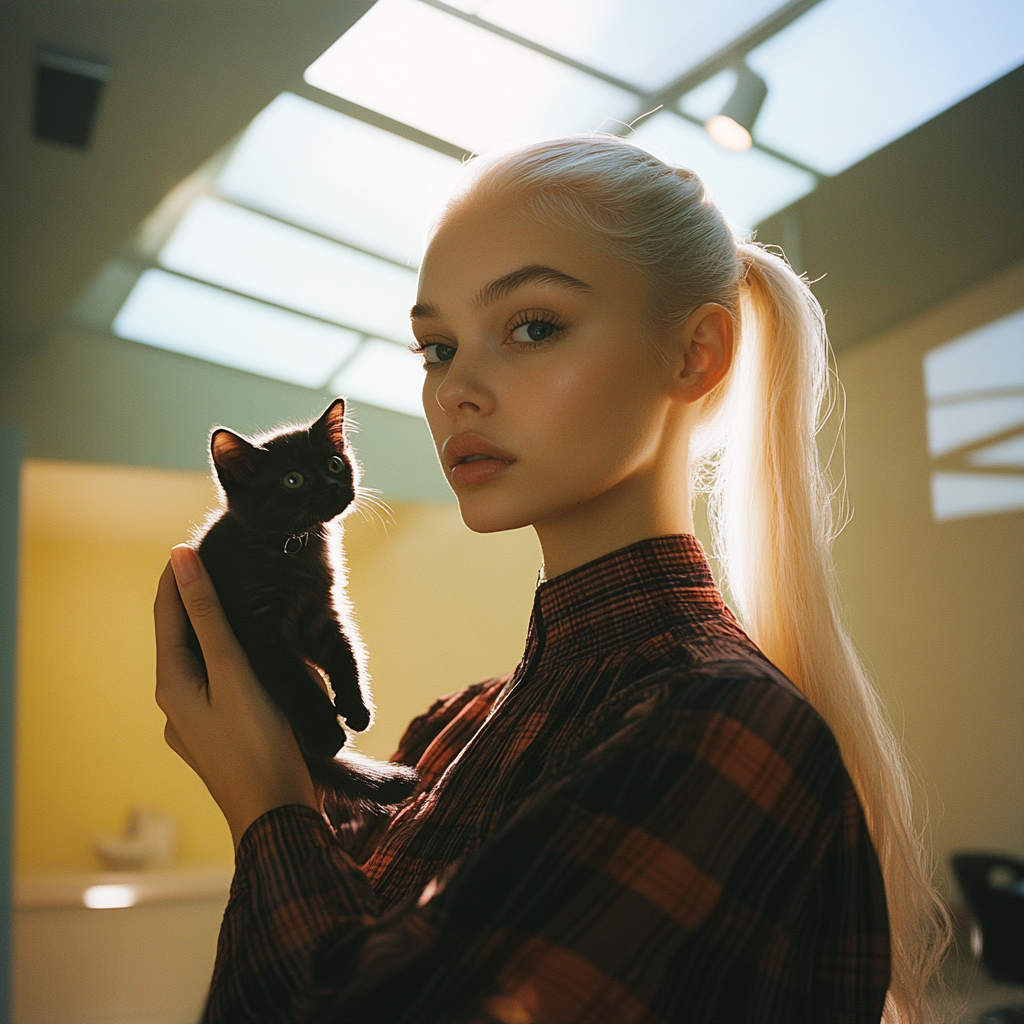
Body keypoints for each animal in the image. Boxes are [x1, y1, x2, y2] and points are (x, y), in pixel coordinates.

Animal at [188, 399, 415, 806]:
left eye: (334, 463)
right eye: (292, 479)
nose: (332, 484)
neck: (293, 545)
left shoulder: (320, 614)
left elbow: (345, 653)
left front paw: (356, 708)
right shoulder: (255, 629)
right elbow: (293, 679)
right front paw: (326, 732)